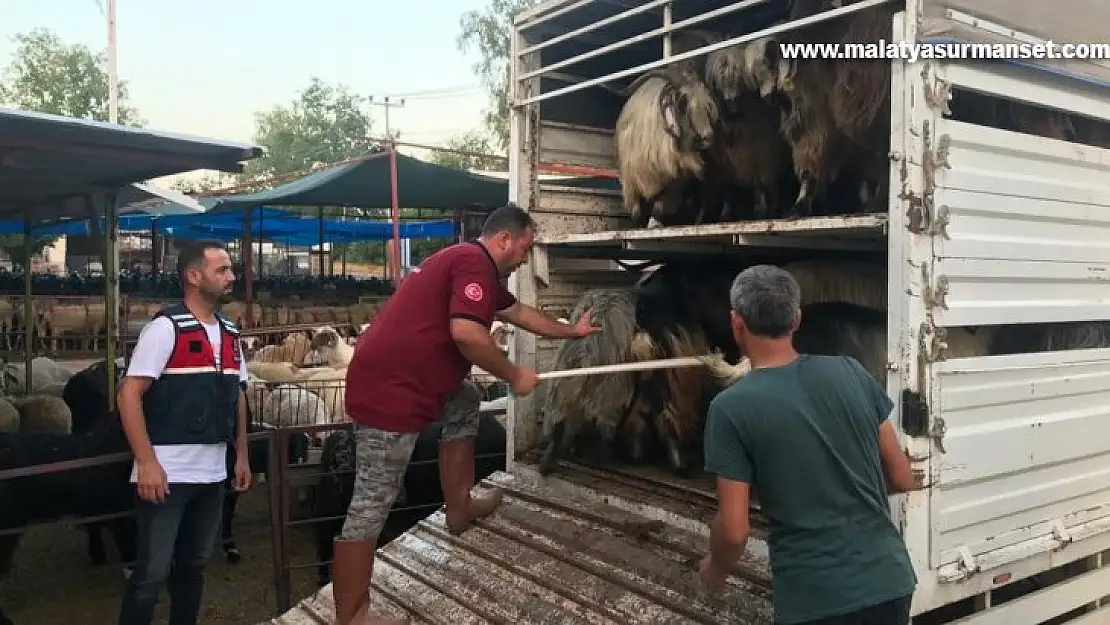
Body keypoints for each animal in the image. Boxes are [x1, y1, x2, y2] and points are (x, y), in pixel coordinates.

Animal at [617, 60, 719, 227]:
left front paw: (654, 224)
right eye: (682, 102)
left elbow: (660, 207)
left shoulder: (676, 181)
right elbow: (636, 212)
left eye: (708, 105)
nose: (708, 137)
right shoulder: (630, 183)